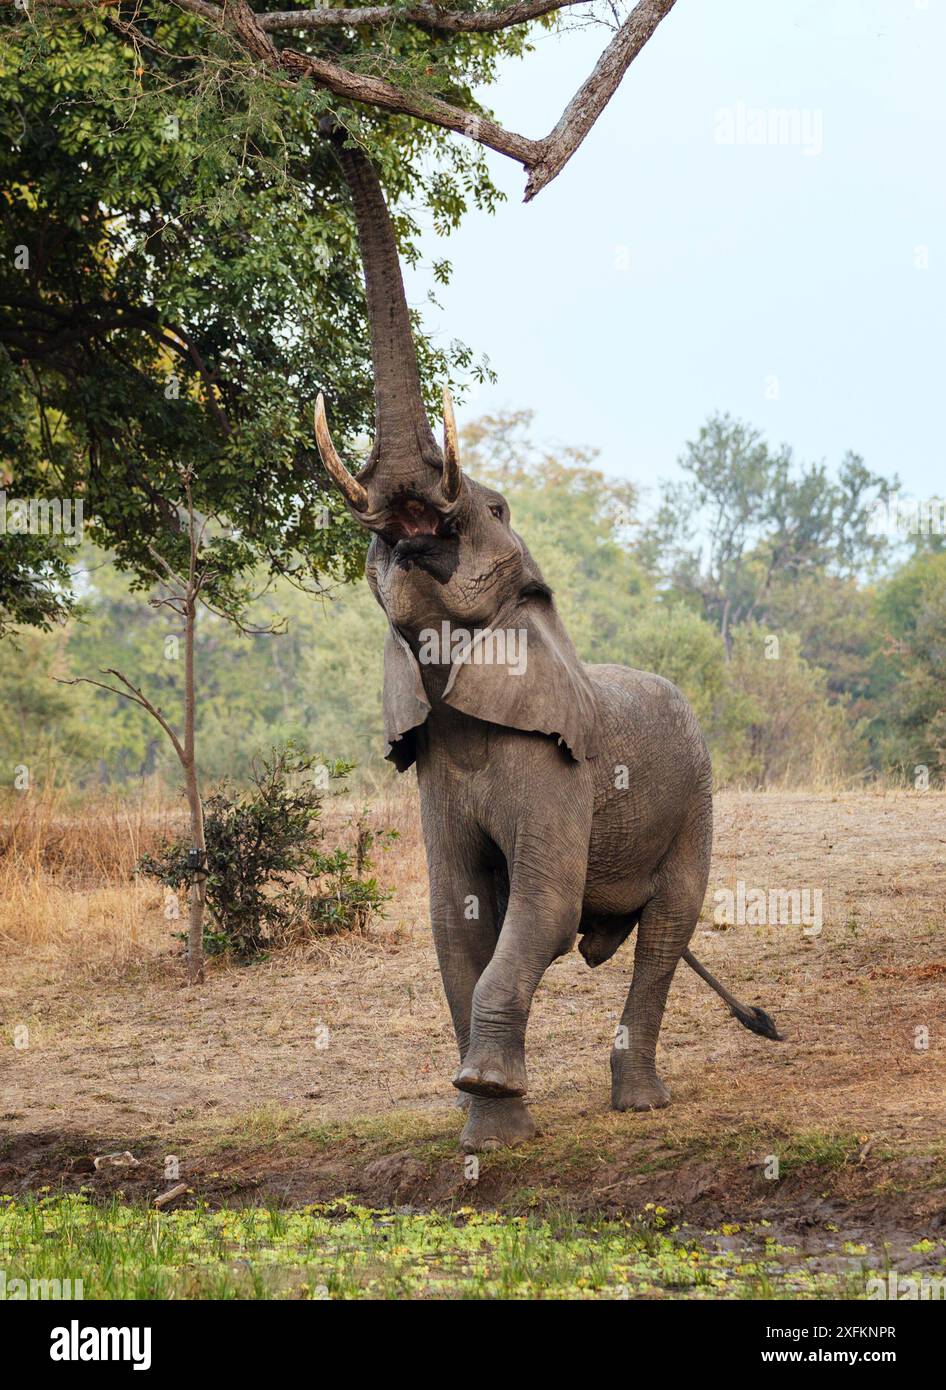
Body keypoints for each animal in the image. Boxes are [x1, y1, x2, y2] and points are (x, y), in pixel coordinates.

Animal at [315, 135, 781, 1152]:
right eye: (374, 551)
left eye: (492, 509)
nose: (339, 135)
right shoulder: (435, 761)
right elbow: (459, 916)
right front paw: (488, 1134)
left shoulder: (558, 764)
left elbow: (539, 908)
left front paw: (487, 1092)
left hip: (699, 795)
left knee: (667, 929)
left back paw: (640, 1103)